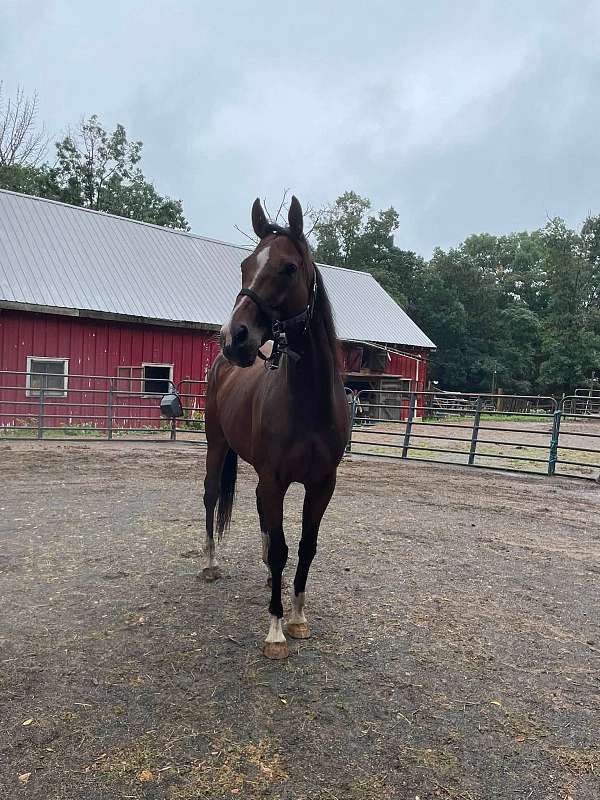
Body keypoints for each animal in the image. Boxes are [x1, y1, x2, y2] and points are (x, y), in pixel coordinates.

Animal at [202, 196, 350, 659]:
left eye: (288, 267)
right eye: (246, 265)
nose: (234, 336)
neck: (309, 402)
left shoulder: (321, 484)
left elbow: (305, 546)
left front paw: (298, 616)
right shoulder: (276, 478)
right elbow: (285, 548)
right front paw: (275, 630)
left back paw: (269, 576)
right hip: (217, 447)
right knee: (211, 496)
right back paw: (210, 563)